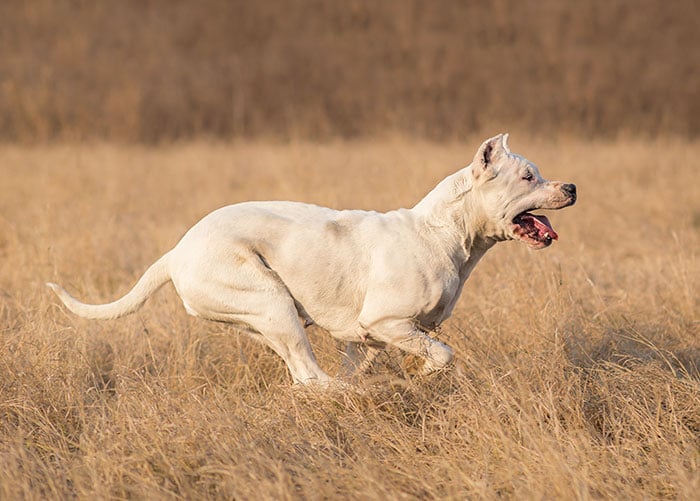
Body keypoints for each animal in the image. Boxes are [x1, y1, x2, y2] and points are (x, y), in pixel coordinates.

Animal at [47, 135, 576, 384]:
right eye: (528, 177)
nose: (571, 186)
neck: (444, 232)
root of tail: (177, 250)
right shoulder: (388, 323)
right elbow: (442, 354)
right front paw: (421, 376)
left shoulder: (366, 339)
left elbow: (370, 359)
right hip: (271, 302)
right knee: (310, 378)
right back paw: (357, 396)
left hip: (265, 319)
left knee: (305, 375)